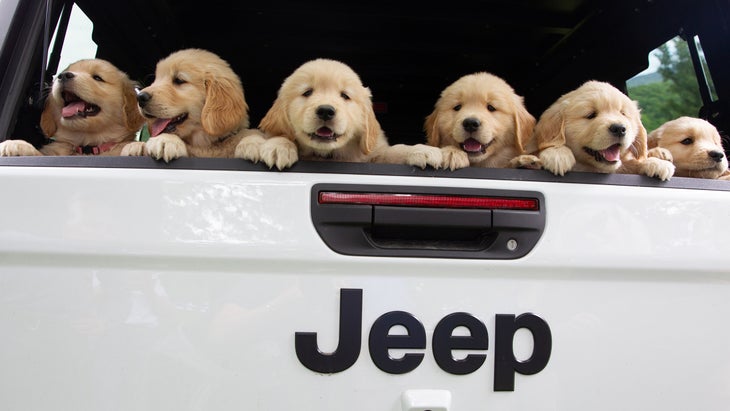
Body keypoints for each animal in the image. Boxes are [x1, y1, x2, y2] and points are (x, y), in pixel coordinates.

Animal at [0, 59, 144, 158]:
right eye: (63, 73)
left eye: (98, 78)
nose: (63, 76)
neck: (87, 147)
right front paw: (16, 144)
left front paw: (138, 147)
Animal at [132, 48, 266, 163]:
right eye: (156, 80)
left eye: (179, 80)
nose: (140, 97)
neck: (204, 145)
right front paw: (165, 140)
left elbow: (248, 134)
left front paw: (253, 143)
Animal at [242, 58, 440, 169]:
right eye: (307, 92)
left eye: (345, 95)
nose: (325, 111)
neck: (328, 155)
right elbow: (282, 136)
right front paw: (279, 146)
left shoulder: (373, 155)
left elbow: (394, 151)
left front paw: (421, 150)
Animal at [516, 81, 672, 181]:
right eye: (590, 115)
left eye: (623, 114)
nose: (619, 129)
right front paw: (557, 154)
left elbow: (633, 163)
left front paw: (657, 163)